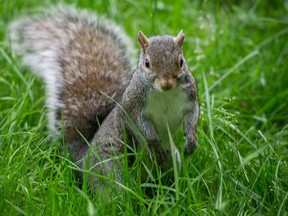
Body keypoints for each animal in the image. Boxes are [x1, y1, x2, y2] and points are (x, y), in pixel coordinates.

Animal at [10, 5, 199, 191]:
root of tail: (84, 161)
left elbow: (193, 116)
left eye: (181, 61)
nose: (166, 84)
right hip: (110, 167)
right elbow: (141, 127)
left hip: (171, 159)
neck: (165, 94)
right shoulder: (133, 105)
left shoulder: (190, 97)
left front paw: (191, 140)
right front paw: (154, 144)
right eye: (147, 63)